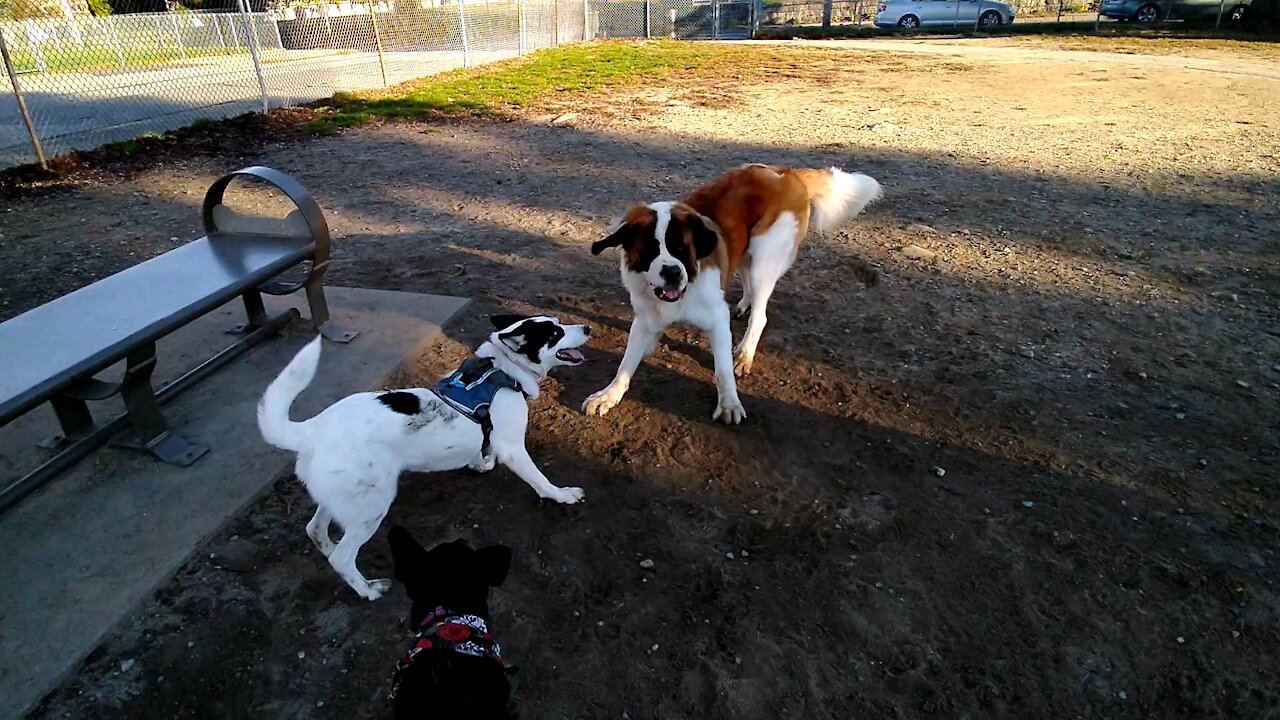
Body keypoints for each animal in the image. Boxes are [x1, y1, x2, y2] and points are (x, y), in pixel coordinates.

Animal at [259, 313, 588, 599]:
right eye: (555, 333)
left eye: (558, 323)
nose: (587, 328)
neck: (504, 369)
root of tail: (312, 430)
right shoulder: (514, 450)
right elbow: (541, 481)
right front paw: (563, 494)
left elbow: (481, 452)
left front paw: (482, 462)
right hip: (372, 508)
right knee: (342, 557)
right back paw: (368, 590)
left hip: (340, 499)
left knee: (316, 531)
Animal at [586, 162, 880, 420]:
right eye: (650, 251)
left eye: (682, 249)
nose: (672, 272)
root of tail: (787, 173)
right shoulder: (645, 319)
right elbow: (626, 363)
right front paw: (609, 394)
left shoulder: (717, 319)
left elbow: (723, 369)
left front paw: (728, 403)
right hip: (744, 255)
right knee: (748, 284)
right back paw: (743, 305)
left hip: (764, 259)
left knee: (760, 315)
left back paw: (745, 352)